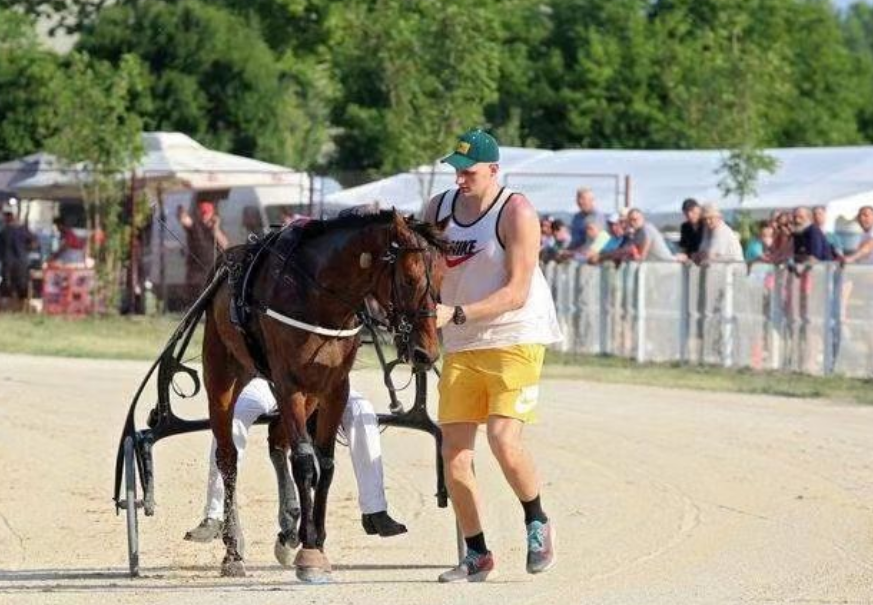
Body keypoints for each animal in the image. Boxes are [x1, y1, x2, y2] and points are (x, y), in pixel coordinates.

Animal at [201, 209, 445, 582]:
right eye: (409, 279)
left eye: (441, 279)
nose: (426, 353)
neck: (318, 294)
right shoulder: (289, 385)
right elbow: (304, 462)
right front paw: (310, 550)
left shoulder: (332, 388)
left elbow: (325, 464)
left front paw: (314, 539)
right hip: (223, 373)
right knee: (228, 457)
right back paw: (233, 550)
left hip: (306, 394)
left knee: (277, 442)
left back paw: (287, 530)